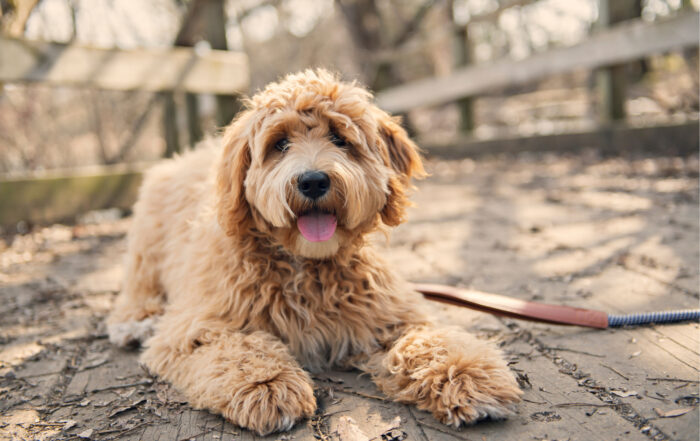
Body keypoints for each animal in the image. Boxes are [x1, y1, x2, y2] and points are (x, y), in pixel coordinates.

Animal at [108, 69, 520, 434]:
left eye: (340, 138)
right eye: (279, 144)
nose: (313, 181)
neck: (306, 264)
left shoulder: (388, 315)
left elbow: (428, 340)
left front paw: (466, 374)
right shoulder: (194, 328)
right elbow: (235, 347)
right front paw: (268, 385)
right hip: (146, 246)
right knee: (137, 288)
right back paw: (135, 321)